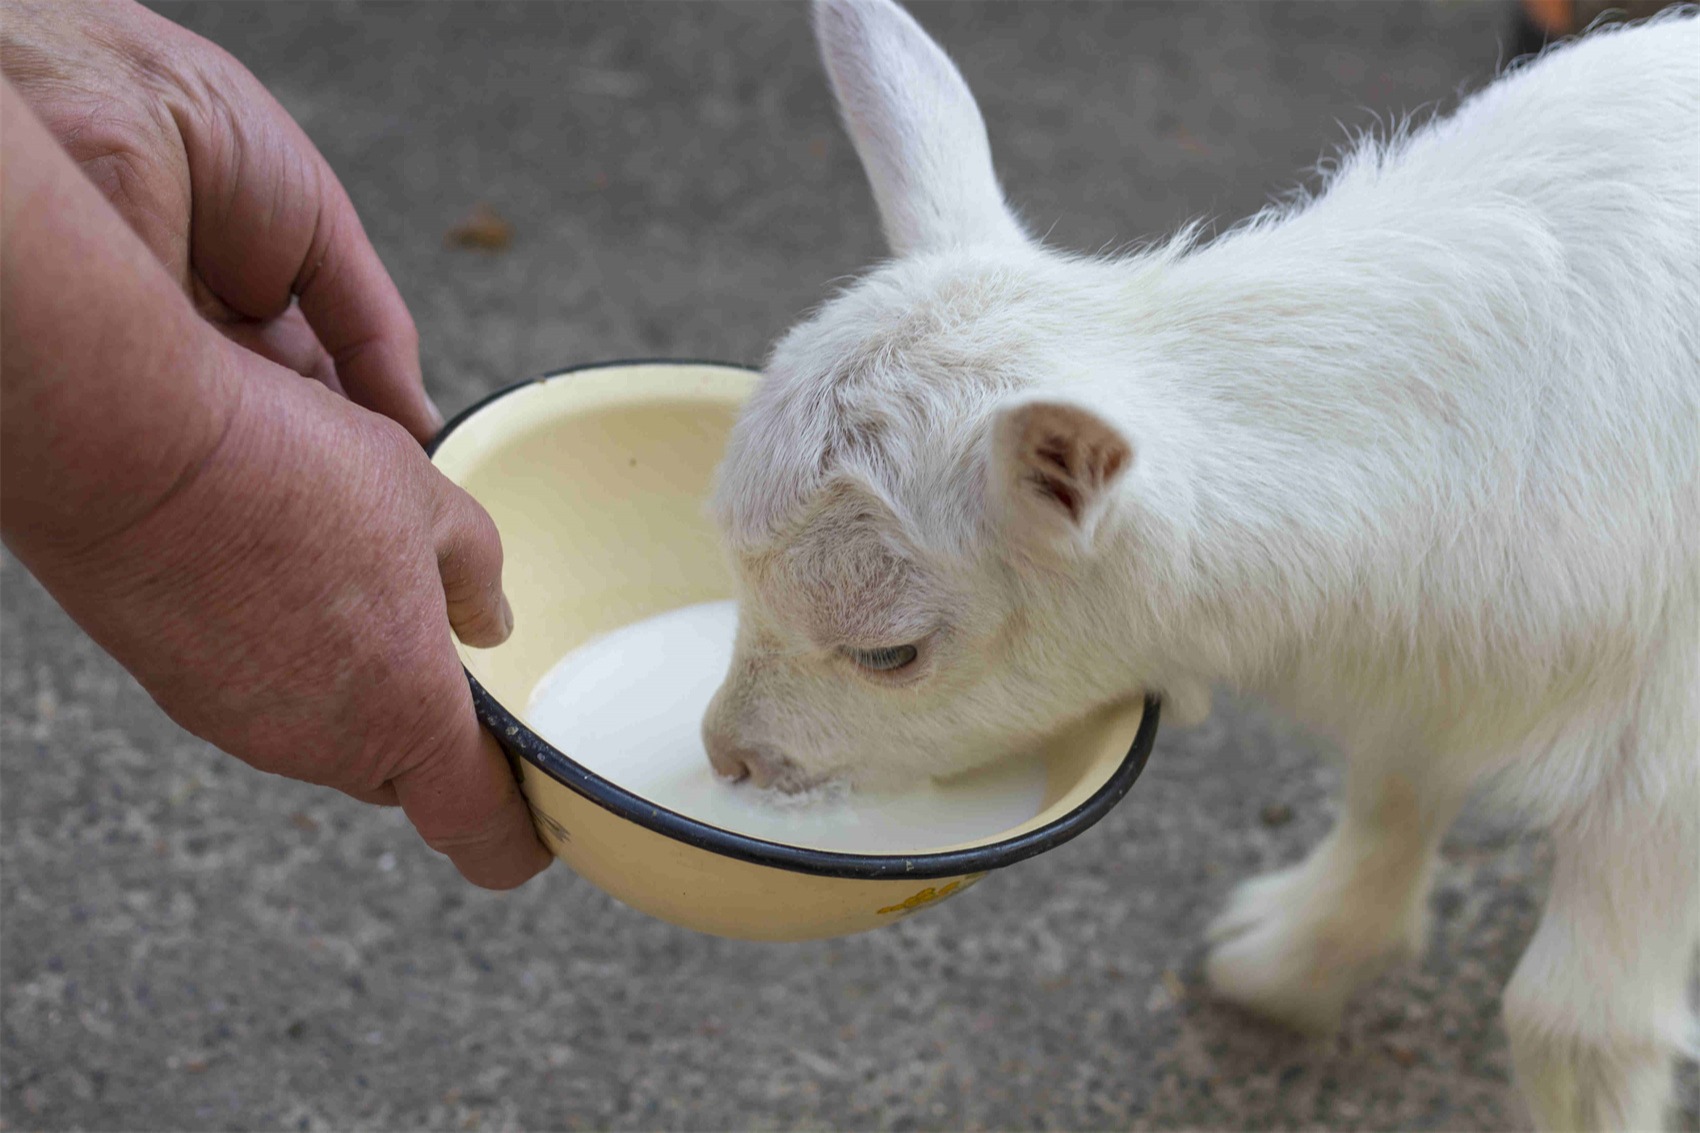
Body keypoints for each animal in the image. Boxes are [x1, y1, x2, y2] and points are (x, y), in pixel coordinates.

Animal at [703, 4, 1700, 1122]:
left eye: (888, 653)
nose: (730, 757)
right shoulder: (1428, 678)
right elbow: (1391, 794)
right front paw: (1295, 959)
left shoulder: (1663, 764)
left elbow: (1575, 1022)